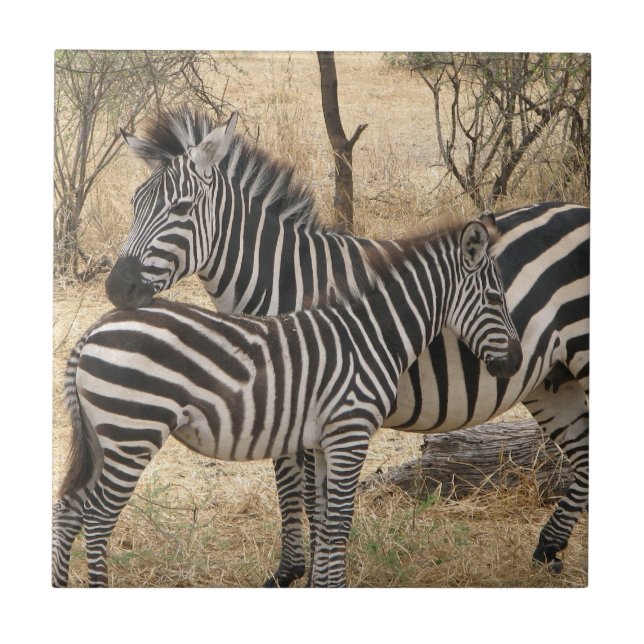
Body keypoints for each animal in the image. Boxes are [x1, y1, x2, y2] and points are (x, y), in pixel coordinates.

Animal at [52, 216, 522, 587]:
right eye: (496, 299)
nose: (515, 362)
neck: (370, 333)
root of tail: (92, 331)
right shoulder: (350, 432)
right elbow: (338, 523)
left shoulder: (325, 440)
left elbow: (324, 520)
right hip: (133, 431)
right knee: (97, 519)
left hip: (104, 436)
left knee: (69, 510)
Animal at [104, 107, 589, 586]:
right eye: (133, 205)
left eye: (181, 208)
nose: (117, 289)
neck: (286, 280)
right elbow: (291, 485)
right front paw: (294, 569)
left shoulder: (305, 398)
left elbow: (301, 491)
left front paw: (302, 573)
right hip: (551, 380)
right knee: (584, 457)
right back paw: (548, 550)